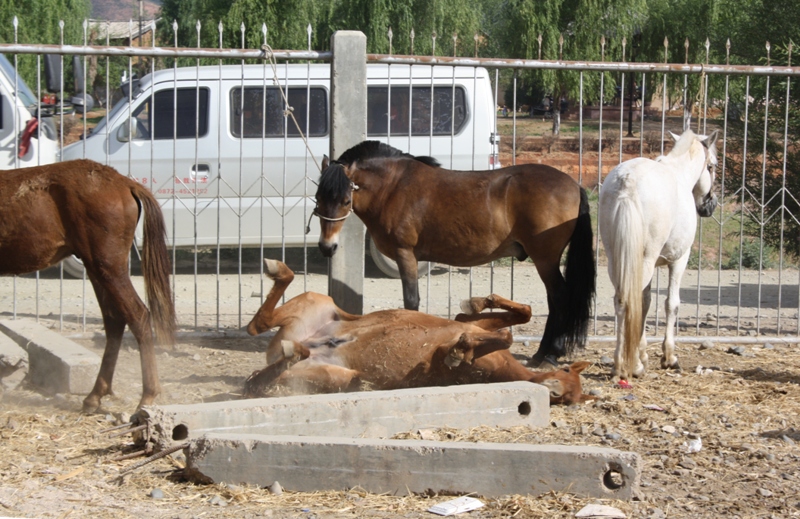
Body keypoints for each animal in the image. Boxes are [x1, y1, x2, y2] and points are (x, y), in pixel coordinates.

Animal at [0, 160, 176, 412]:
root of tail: (125, 183)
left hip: (108, 267)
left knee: (138, 315)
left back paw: (147, 396)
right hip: (96, 269)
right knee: (115, 320)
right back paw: (94, 396)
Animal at [241, 260, 592, 406]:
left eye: (568, 398)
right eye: (564, 371)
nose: (553, 390)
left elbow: (495, 338)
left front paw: (458, 353)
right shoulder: (471, 325)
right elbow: (514, 319)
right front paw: (481, 302)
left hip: (337, 376)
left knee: (261, 374)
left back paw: (291, 350)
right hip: (317, 302)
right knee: (257, 326)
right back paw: (279, 271)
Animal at [600, 129, 720, 382]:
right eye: (712, 166)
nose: (709, 205)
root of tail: (627, 181)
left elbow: (645, 303)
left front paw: (643, 352)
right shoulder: (679, 260)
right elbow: (671, 304)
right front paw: (669, 357)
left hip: (618, 260)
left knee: (622, 300)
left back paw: (619, 365)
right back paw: (632, 367)